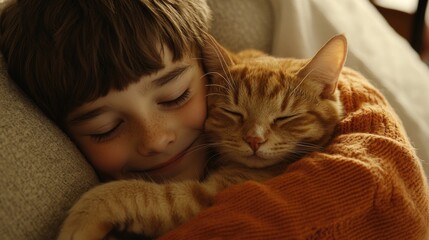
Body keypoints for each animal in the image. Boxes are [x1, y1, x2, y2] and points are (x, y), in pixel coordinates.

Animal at [57, 34, 344, 239]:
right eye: (233, 112)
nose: (254, 140)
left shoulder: (205, 200)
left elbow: (136, 193)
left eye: (285, 117)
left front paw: (82, 218)